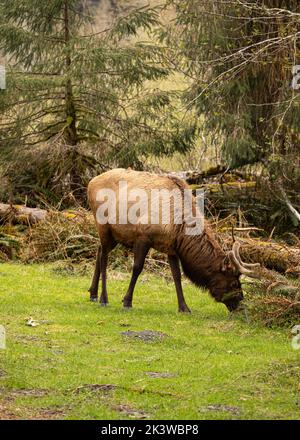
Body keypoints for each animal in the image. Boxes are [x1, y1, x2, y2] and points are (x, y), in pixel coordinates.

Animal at [87, 168, 260, 312]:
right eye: (234, 283)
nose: (240, 303)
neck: (178, 226)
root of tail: (90, 182)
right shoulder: (143, 236)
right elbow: (137, 268)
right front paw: (127, 301)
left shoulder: (171, 247)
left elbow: (177, 276)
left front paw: (184, 307)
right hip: (103, 226)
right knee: (104, 258)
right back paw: (103, 298)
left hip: (116, 234)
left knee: (99, 251)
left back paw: (93, 293)